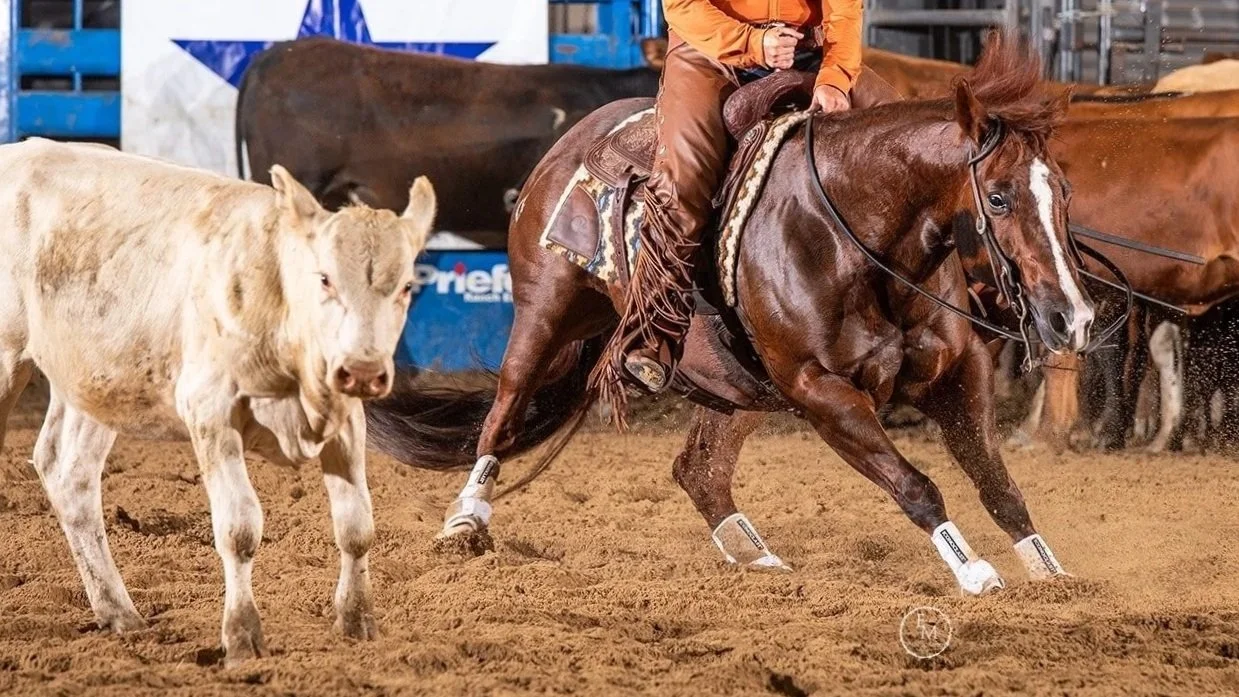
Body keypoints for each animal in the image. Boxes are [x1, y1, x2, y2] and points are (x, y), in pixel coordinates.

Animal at [0, 138, 437, 665]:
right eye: (325, 278)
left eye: (406, 285)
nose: (365, 370)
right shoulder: (208, 410)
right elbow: (240, 528)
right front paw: (241, 634)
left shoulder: (346, 418)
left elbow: (357, 524)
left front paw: (356, 622)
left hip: (95, 379)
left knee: (69, 473)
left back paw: (120, 613)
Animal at [365, 32, 1092, 596]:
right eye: (997, 197)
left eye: (1062, 189)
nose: (1072, 318)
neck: (852, 233)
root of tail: (573, 142)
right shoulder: (819, 390)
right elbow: (915, 485)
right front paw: (974, 572)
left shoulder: (958, 371)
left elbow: (998, 484)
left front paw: (1053, 574)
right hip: (546, 311)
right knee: (504, 413)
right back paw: (464, 521)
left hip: (736, 383)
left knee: (697, 469)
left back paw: (755, 556)